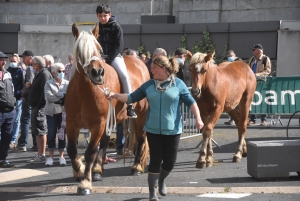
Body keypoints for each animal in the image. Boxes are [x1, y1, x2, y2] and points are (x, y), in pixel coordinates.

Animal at [66, 24, 150, 195]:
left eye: (98, 49)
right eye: (80, 50)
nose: (97, 73)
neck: (84, 91)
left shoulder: (97, 124)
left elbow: (90, 152)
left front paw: (85, 183)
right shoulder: (72, 124)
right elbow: (71, 150)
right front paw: (79, 171)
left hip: (142, 114)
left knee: (141, 138)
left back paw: (137, 166)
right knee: (105, 142)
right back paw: (98, 169)